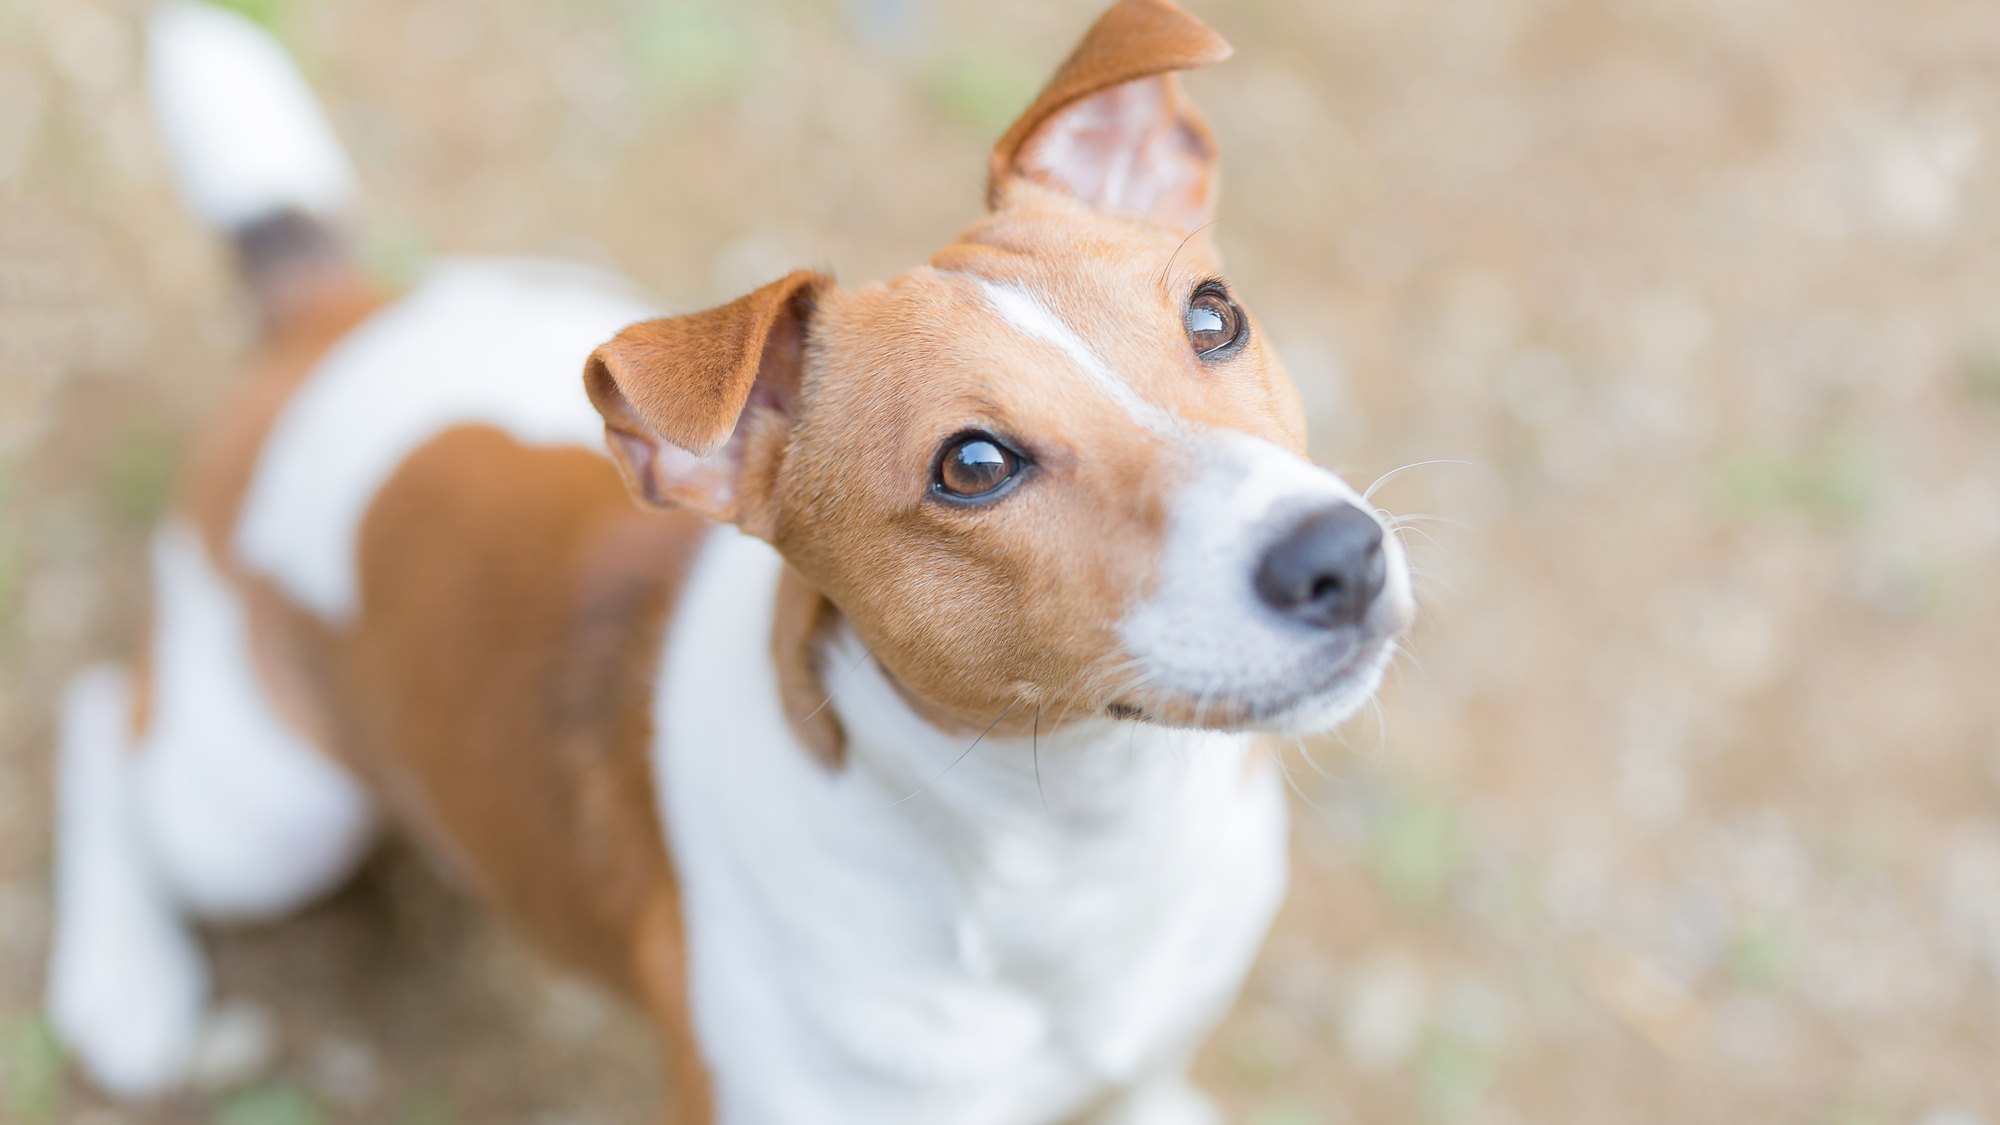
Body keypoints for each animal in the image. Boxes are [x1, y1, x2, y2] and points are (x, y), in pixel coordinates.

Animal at [47, 4, 1416, 1112]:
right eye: (972, 466)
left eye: (1213, 316)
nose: (1336, 556)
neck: (1079, 843)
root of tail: (329, 315)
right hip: (270, 812)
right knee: (105, 713)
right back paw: (127, 983)